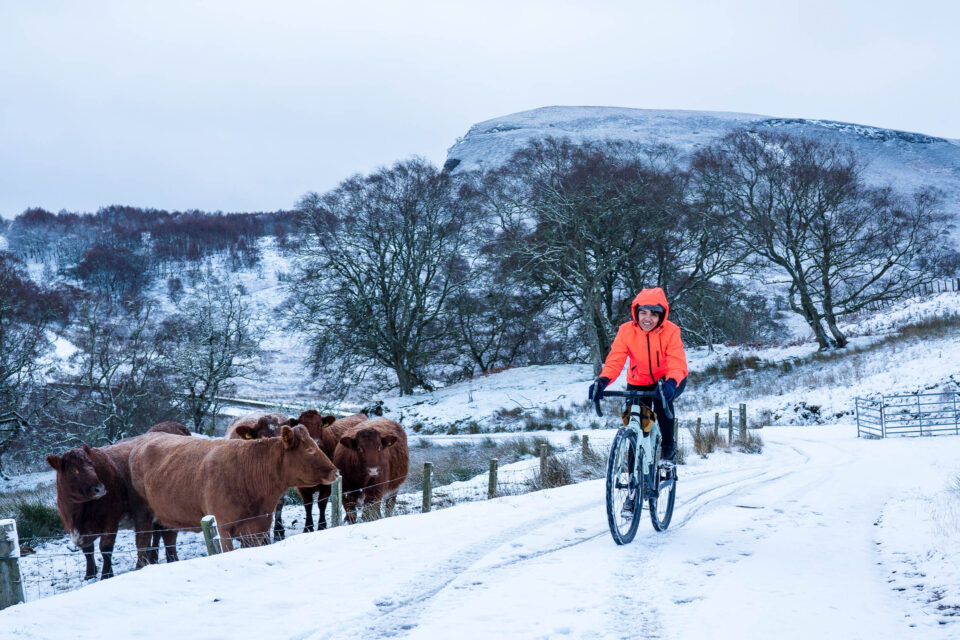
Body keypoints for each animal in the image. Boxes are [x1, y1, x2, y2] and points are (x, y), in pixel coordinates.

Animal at [43, 420, 189, 580]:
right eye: (73, 470)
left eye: (91, 465)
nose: (100, 489)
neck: (78, 514)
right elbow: (88, 551)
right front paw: (89, 574)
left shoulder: (111, 519)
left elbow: (106, 548)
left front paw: (106, 575)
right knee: (157, 533)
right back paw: (153, 559)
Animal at [127, 424, 338, 552]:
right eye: (309, 449)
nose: (335, 472)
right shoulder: (222, 526)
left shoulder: (256, 528)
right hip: (143, 515)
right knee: (142, 545)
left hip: (166, 516)